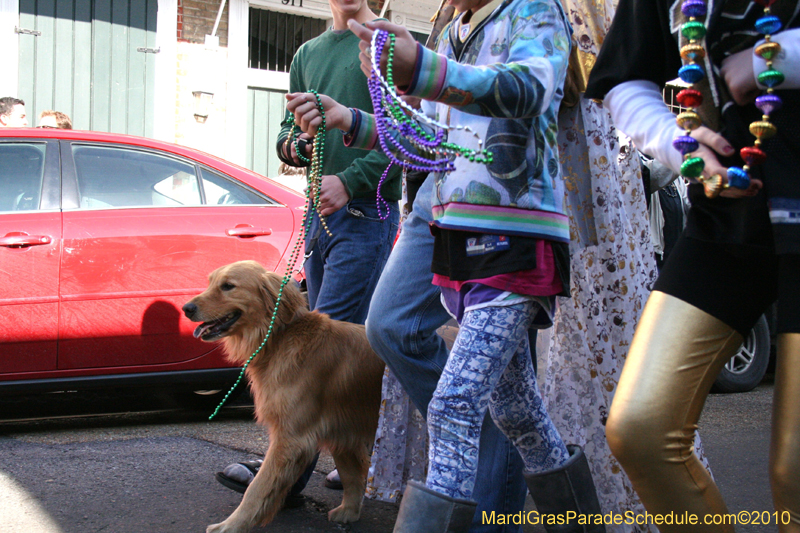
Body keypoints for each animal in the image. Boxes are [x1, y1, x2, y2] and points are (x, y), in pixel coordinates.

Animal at [186, 260, 390, 528]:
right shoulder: (340, 428)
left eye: (228, 286)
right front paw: (349, 511)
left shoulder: (291, 438)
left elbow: (258, 487)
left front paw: (232, 525)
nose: (186, 308)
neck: (278, 338)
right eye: (211, 282)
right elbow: (351, 474)